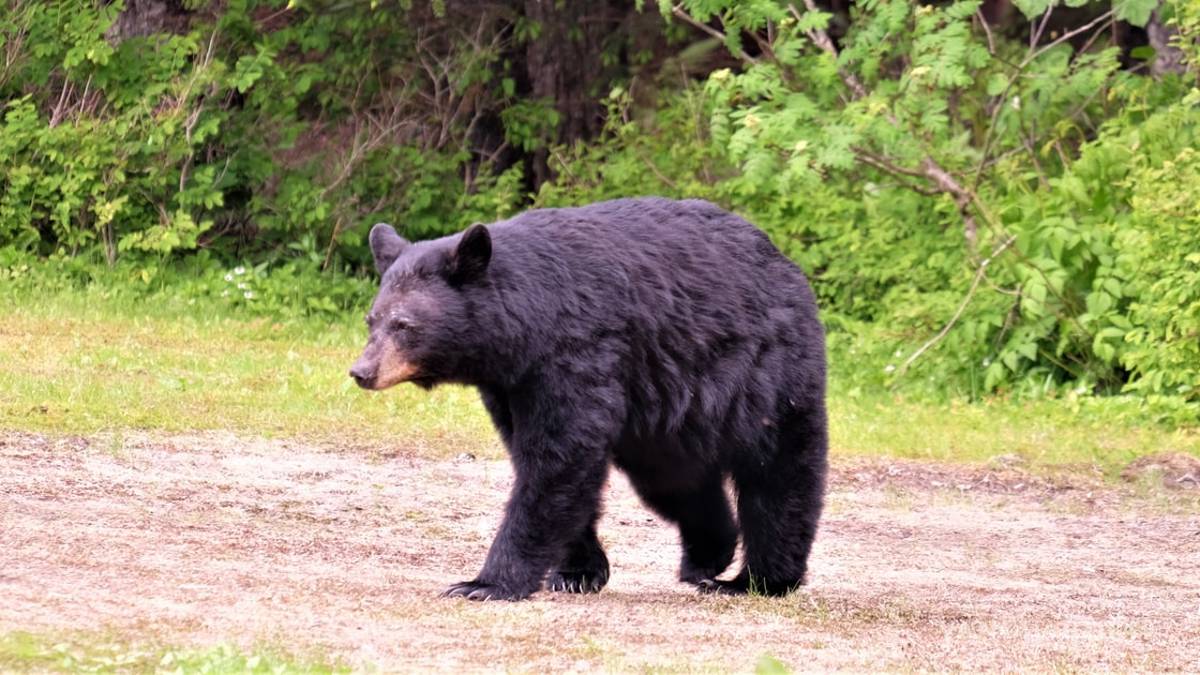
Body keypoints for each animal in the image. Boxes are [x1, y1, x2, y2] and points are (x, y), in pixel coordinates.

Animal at [349, 197, 827, 600]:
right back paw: (707, 556)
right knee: (676, 480)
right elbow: (542, 460)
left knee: (778, 471)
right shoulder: (511, 385)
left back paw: (759, 579)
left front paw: (484, 583)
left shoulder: (576, 353)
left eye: (404, 325)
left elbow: (559, 458)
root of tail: (785, 262)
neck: (525, 329)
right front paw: (578, 573)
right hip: (665, 416)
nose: (362, 371)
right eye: (372, 319)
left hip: (765, 373)